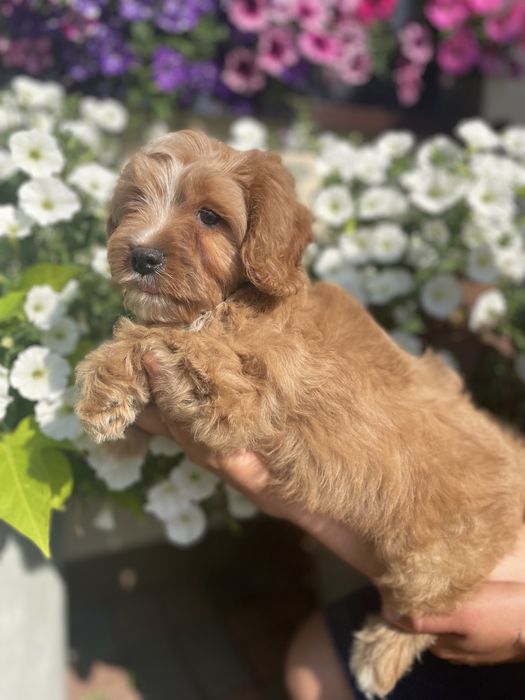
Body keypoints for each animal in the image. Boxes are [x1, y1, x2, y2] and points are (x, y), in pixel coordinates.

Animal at [73, 130, 524, 696]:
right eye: (134, 202)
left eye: (209, 216)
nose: (142, 255)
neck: (242, 296)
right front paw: (106, 400)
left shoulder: (236, 403)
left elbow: (168, 336)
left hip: (436, 559)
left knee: (423, 607)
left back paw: (379, 654)